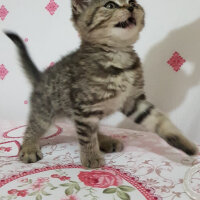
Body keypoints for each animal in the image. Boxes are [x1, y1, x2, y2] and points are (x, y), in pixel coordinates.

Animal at [5, 0, 198, 169]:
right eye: (110, 5)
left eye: (133, 2)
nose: (130, 7)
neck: (118, 57)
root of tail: (40, 76)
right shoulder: (84, 107)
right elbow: (86, 137)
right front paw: (91, 156)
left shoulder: (133, 100)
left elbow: (158, 120)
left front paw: (184, 143)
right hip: (45, 111)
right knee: (34, 127)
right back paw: (29, 147)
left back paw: (105, 140)